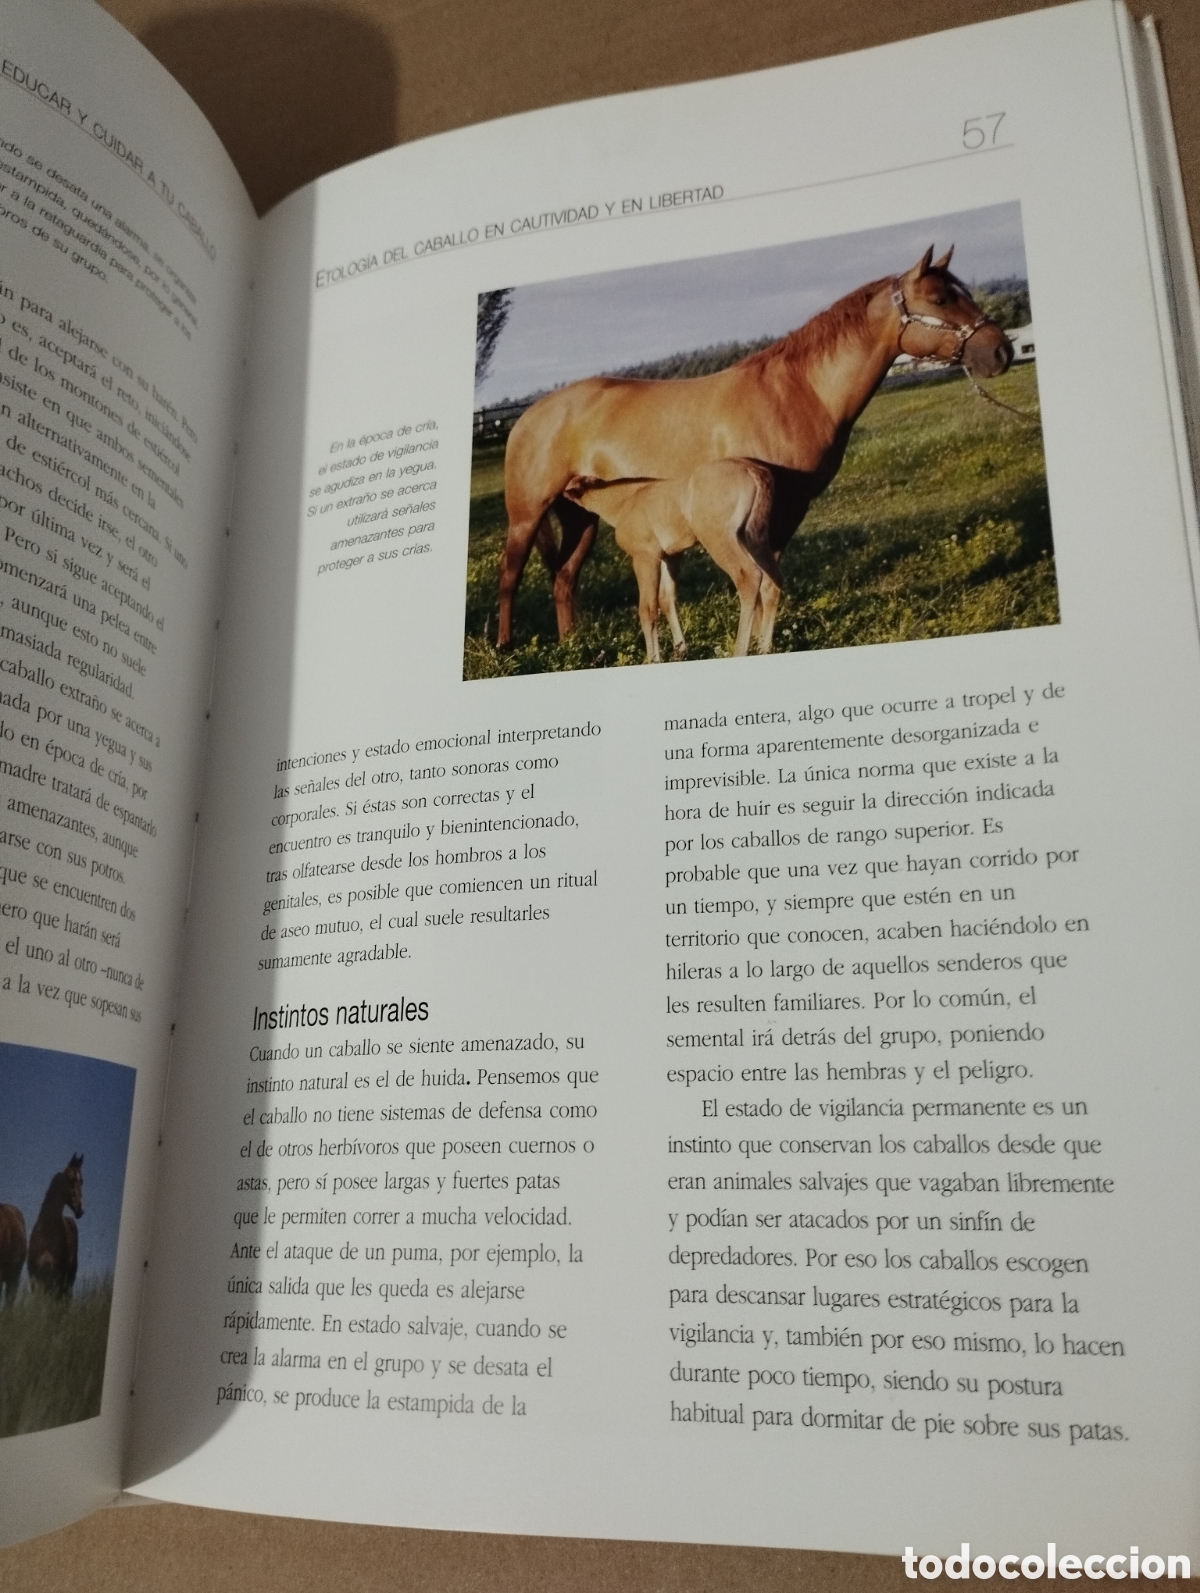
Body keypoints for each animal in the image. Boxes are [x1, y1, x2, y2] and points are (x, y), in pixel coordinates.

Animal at [27, 1153, 83, 1298]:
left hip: (68, 1280)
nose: (80, 1210)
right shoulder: (34, 1277)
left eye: (82, 1181)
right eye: (71, 1178)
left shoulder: (57, 1277)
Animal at [563, 458, 784, 661]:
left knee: (749, 577)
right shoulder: (670, 556)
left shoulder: (645, 557)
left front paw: (653, 659)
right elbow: (666, 599)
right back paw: (765, 648)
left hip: (719, 539)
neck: (624, 503)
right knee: (771, 582)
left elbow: (648, 609)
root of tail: (754, 471)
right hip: (753, 538)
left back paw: (740, 651)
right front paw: (680, 650)